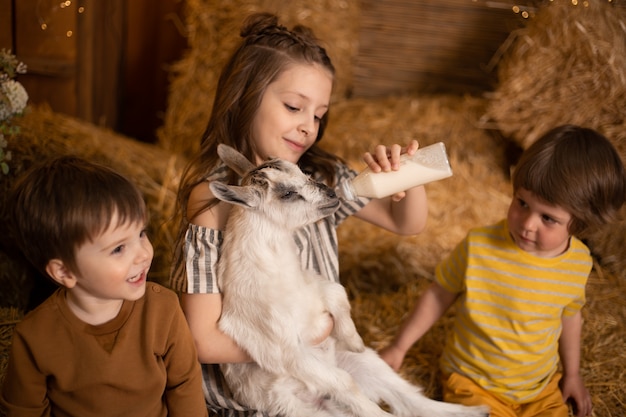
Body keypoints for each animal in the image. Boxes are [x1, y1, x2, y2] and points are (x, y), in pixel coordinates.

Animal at [210, 144, 488, 416]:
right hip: (299, 406)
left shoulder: (313, 286)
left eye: (303, 172)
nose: (332, 194)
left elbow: (338, 293)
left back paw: (475, 410)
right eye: (287, 193)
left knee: (409, 397)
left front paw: (354, 340)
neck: (280, 278)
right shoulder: (285, 350)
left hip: (366, 363)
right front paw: (375, 412)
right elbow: (344, 383)